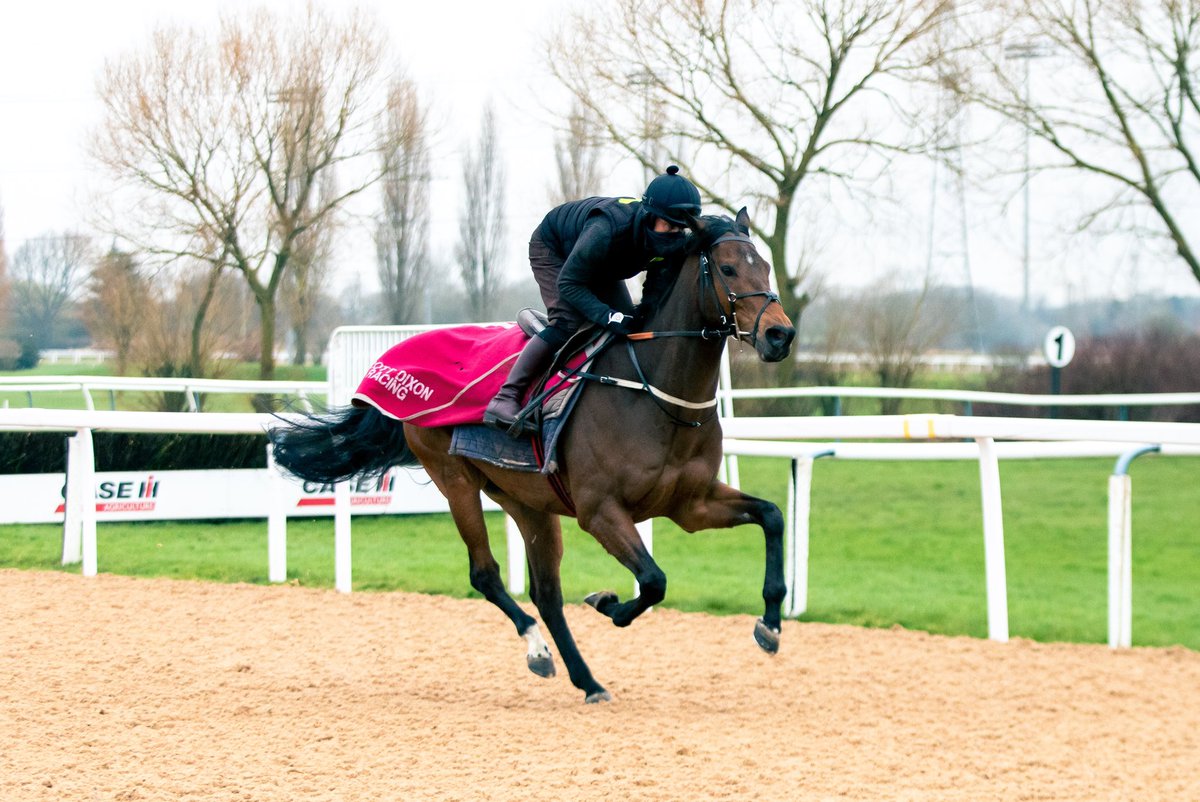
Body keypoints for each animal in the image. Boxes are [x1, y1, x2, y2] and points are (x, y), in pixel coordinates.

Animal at [272, 210, 796, 705]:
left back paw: (587, 681)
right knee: (486, 574)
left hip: (527, 501)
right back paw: (538, 650)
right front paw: (607, 602)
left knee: (546, 594)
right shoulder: (599, 510)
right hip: (454, 479)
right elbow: (653, 580)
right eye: (727, 268)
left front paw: (770, 625)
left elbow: (771, 516)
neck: (654, 394)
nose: (780, 336)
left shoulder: (691, 503)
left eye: (766, 267)